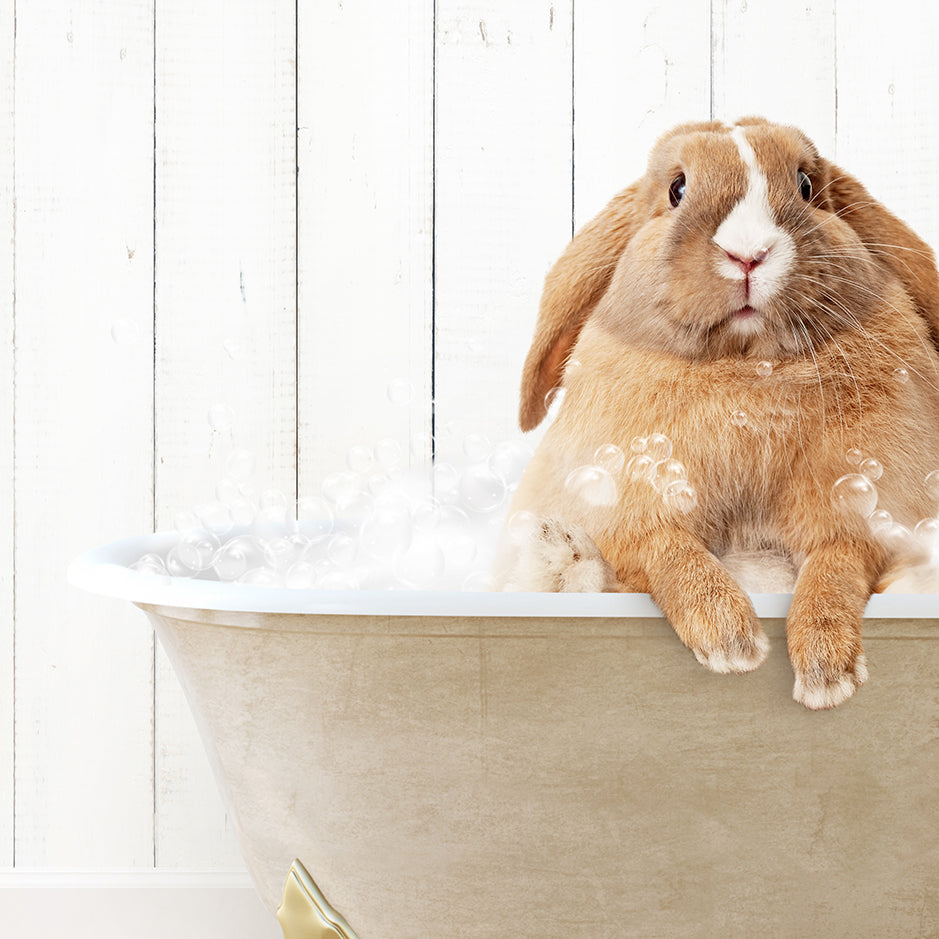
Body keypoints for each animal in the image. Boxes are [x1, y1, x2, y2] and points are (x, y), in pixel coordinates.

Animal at [504, 117, 939, 708]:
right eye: (677, 189)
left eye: (806, 185)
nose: (748, 254)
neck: (746, 369)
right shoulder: (629, 505)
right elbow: (668, 549)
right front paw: (732, 642)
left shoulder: (860, 511)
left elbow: (835, 567)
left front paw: (826, 674)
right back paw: (560, 553)